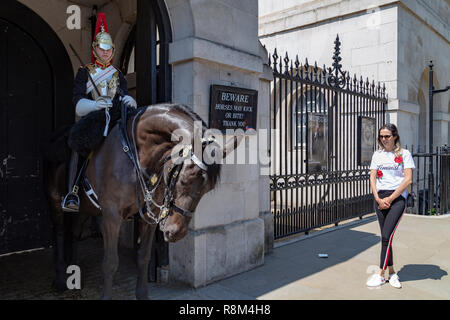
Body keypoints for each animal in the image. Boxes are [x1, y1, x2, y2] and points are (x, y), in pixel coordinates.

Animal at [43, 103, 239, 300]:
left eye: (209, 189)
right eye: (184, 180)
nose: (176, 233)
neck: (136, 156)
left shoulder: (149, 216)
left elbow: (143, 257)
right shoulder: (111, 217)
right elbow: (110, 263)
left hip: (85, 208)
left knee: (75, 233)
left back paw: (73, 272)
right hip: (55, 201)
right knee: (59, 232)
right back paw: (59, 279)